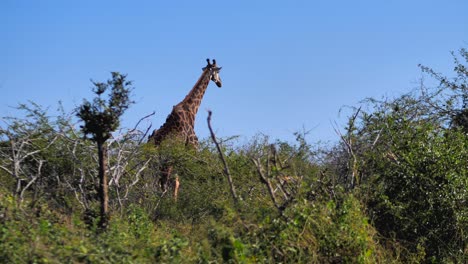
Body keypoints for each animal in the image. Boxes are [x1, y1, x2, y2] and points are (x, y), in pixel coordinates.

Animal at [150, 57, 223, 198]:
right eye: (218, 71)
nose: (220, 83)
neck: (191, 111)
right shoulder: (193, 149)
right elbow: (180, 181)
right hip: (167, 160)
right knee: (163, 183)